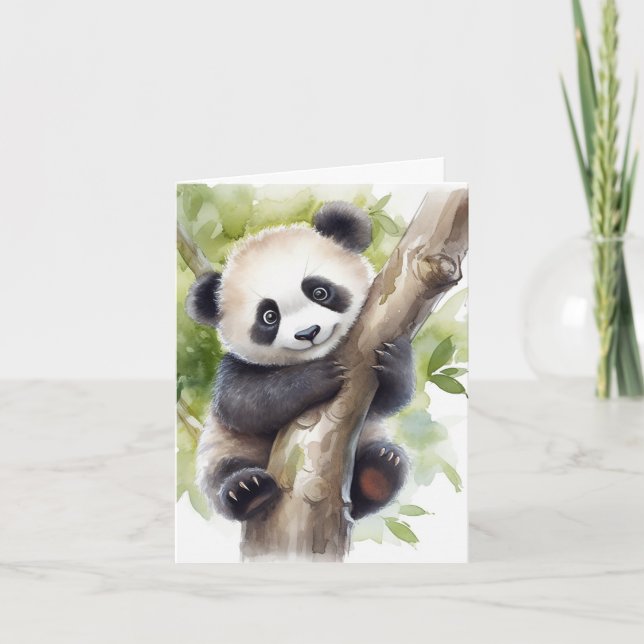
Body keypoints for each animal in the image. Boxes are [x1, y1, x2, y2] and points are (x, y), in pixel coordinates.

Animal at [185, 201, 416, 522]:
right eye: (269, 316)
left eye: (319, 291)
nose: (308, 333)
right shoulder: (234, 368)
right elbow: (244, 405)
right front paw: (320, 376)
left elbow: (387, 401)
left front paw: (395, 361)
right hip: (224, 449)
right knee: (224, 473)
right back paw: (247, 490)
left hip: (367, 438)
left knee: (380, 471)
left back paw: (379, 473)